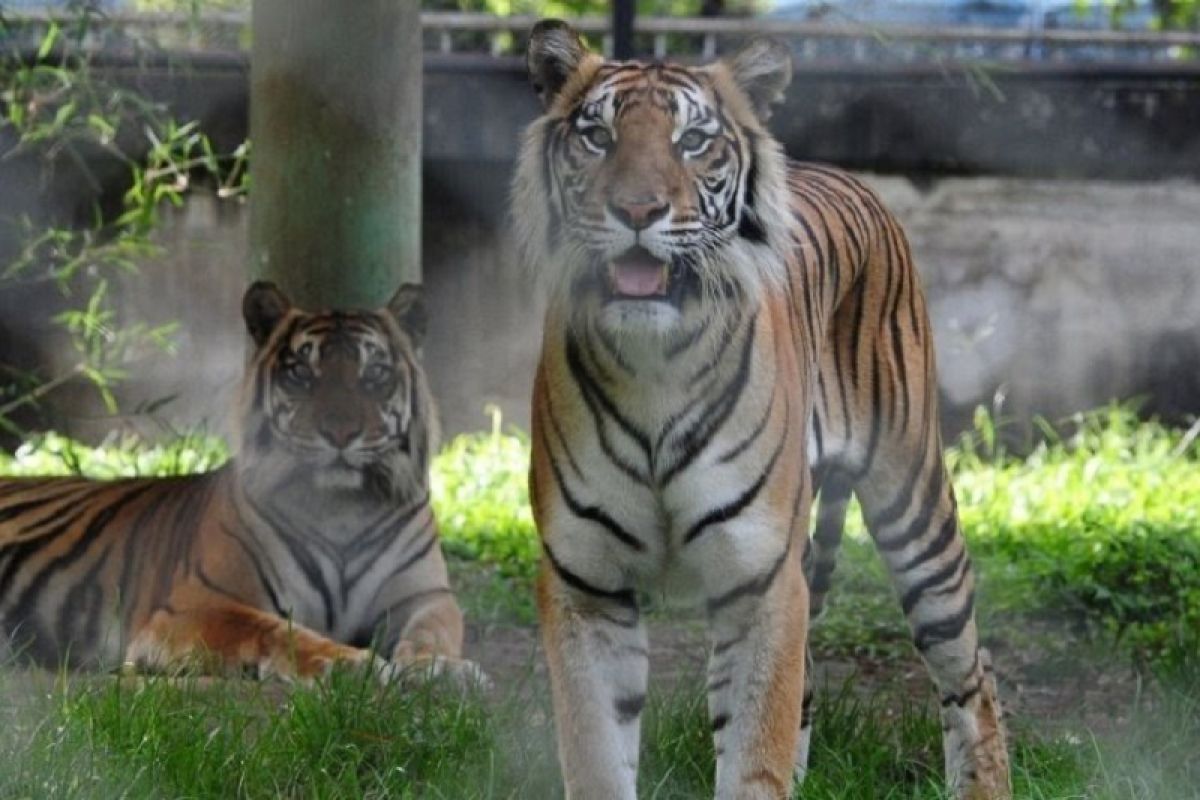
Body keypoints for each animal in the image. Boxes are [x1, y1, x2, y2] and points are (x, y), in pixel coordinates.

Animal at [0, 283, 477, 690]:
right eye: (301, 373)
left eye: (375, 373)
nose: (340, 433)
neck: (341, 508)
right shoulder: (192, 607)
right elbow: (276, 629)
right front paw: (352, 665)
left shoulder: (423, 597)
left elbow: (433, 631)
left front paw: (441, 669)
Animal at [516, 17, 1012, 800]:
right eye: (597, 136)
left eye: (693, 140)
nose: (637, 211)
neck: (653, 364)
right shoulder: (584, 583)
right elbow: (597, 753)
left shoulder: (760, 581)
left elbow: (754, 754)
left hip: (914, 506)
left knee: (971, 671)